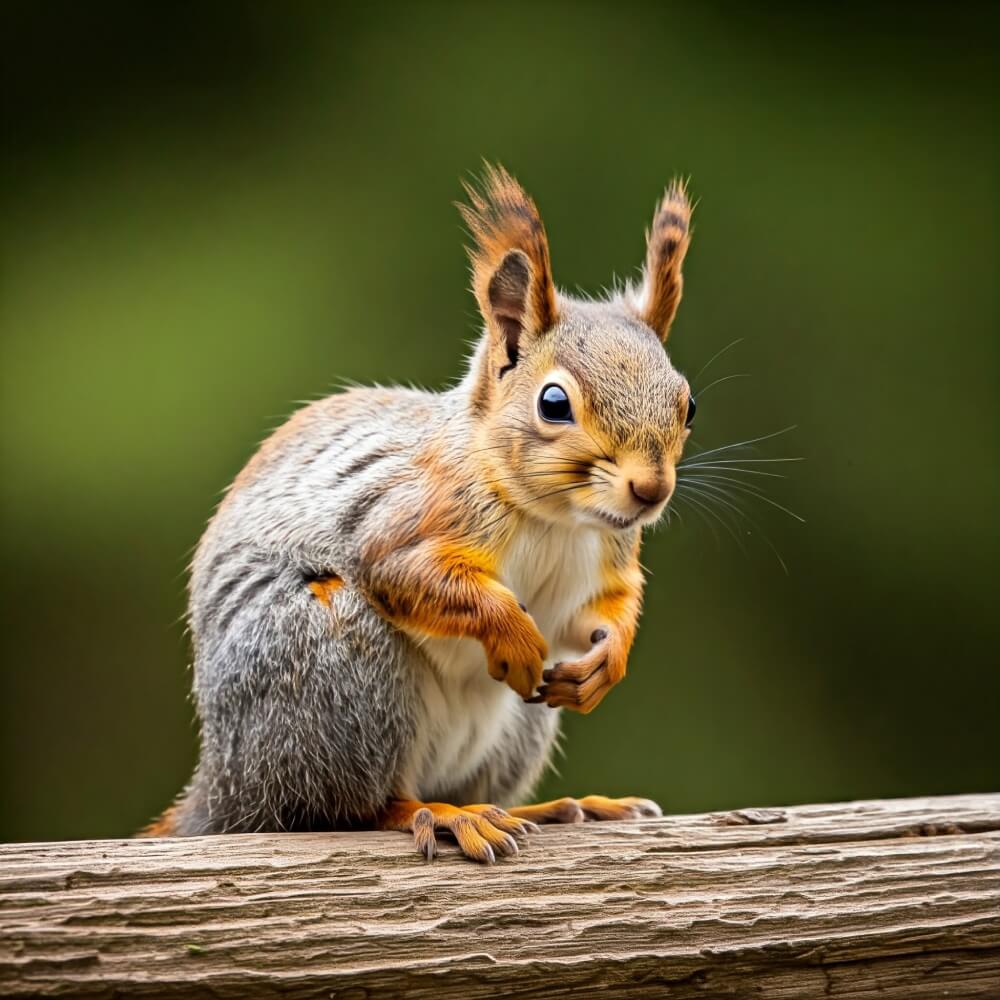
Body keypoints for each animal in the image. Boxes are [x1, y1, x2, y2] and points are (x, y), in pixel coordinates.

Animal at [142, 165, 696, 863]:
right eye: (553, 403)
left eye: (689, 404)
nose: (650, 490)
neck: (556, 521)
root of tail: (223, 787)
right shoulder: (409, 514)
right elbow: (408, 573)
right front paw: (513, 632)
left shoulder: (605, 561)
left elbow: (601, 613)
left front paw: (607, 662)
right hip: (331, 663)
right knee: (347, 810)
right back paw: (442, 815)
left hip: (518, 723)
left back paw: (556, 808)